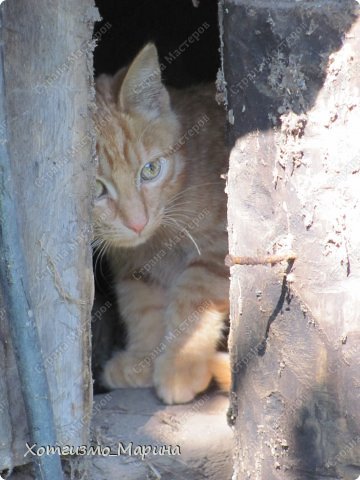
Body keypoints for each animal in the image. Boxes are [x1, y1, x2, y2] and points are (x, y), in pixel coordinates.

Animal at [93, 44, 228, 404]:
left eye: (151, 170)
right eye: (96, 189)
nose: (138, 223)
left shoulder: (220, 243)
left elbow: (194, 292)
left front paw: (180, 364)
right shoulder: (133, 263)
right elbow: (142, 305)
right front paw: (142, 359)